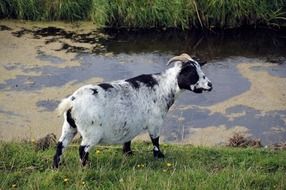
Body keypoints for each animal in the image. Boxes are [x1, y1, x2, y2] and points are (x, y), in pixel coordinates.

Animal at [52, 53, 212, 168]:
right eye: (193, 73)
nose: (210, 85)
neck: (163, 86)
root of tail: (72, 102)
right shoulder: (155, 122)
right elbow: (155, 141)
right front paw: (159, 157)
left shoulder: (130, 124)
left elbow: (128, 140)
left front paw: (128, 154)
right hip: (91, 132)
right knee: (82, 150)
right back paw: (86, 168)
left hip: (69, 127)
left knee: (60, 146)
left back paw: (57, 167)